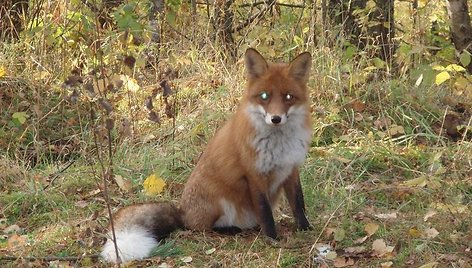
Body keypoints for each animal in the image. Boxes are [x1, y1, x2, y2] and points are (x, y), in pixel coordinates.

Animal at [101, 47, 312, 262]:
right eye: (264, 96)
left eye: (288, 97)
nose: (275, 119)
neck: (279, 144)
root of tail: (181, 212)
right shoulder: (255, 174)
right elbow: (265, 212)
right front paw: (272, 238)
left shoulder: (291, 168)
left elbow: (299, 204)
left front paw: (306, 229)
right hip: (217, 199)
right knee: (200, 228)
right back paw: (230, 230)